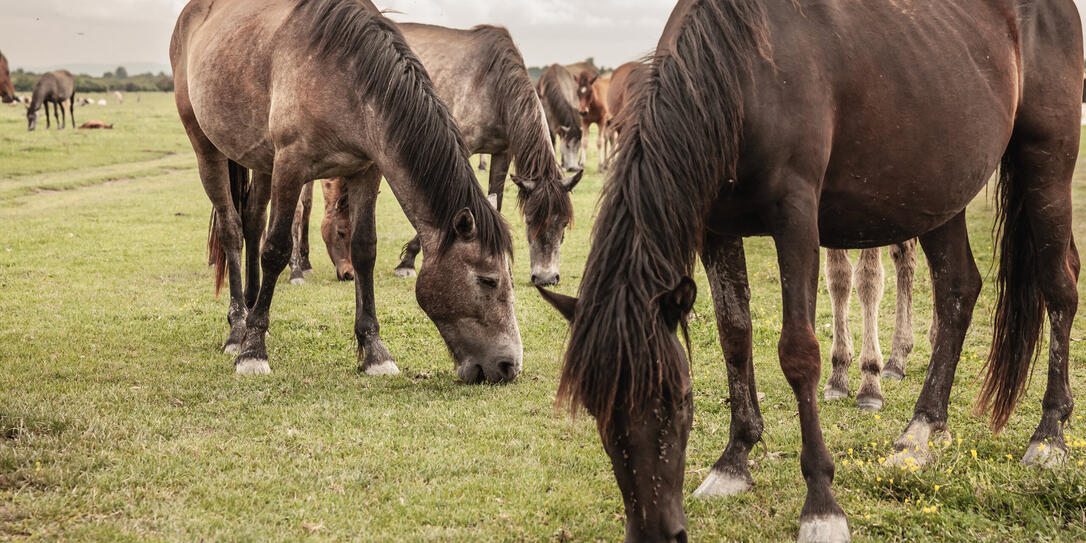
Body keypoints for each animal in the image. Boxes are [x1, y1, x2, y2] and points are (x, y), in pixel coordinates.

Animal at [173, 0, 522, 384]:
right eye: (489, 280)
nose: (509, 366)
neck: (347, 74)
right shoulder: (291, 165)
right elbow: (276, 249)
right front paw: (253, 351)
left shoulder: (366, 170)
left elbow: (365, 249)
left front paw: (375, 352)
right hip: (206, 147)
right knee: (232, 229)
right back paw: (238, 328)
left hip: (261, 159)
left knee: (252, 220)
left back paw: (250, 307)